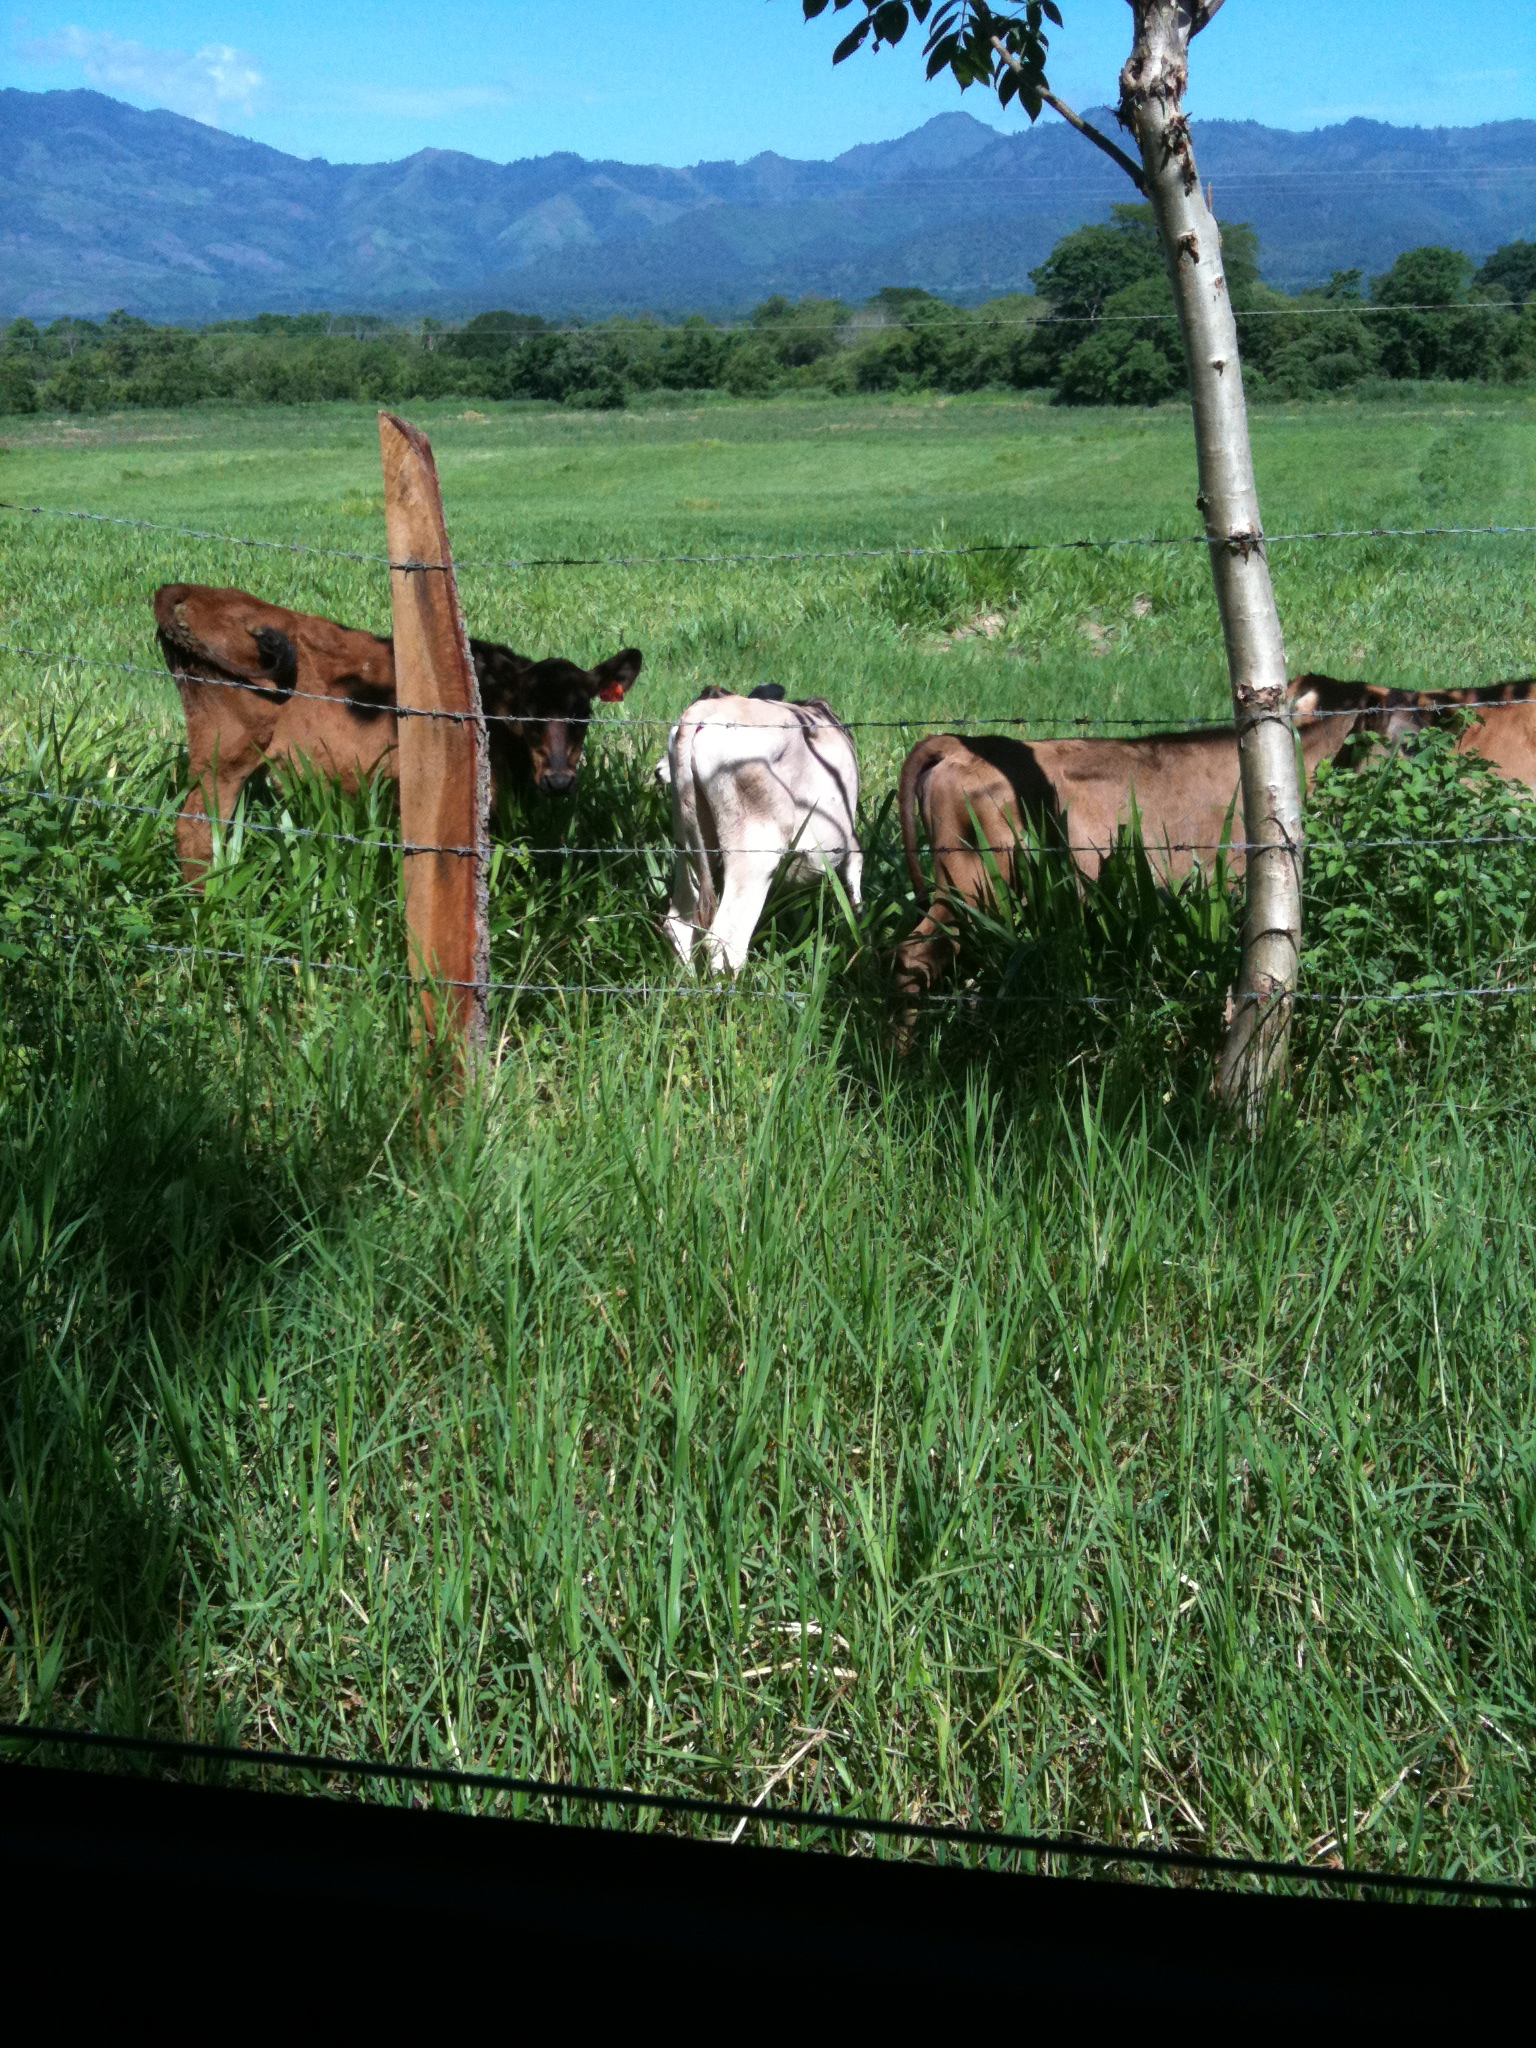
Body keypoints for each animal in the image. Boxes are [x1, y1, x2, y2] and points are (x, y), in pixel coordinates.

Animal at [151, 585, 643, 888]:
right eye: (527, 712)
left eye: (584, 713)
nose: (559, 779)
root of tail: (192, 590)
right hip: (229, 748)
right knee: (195, 828)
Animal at [663, 692, 868, 970]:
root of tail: (708, 708)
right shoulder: (851, 842)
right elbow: (855, 881)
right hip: (757, 849)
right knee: (727, 936)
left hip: (688, 839)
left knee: (680, 925)